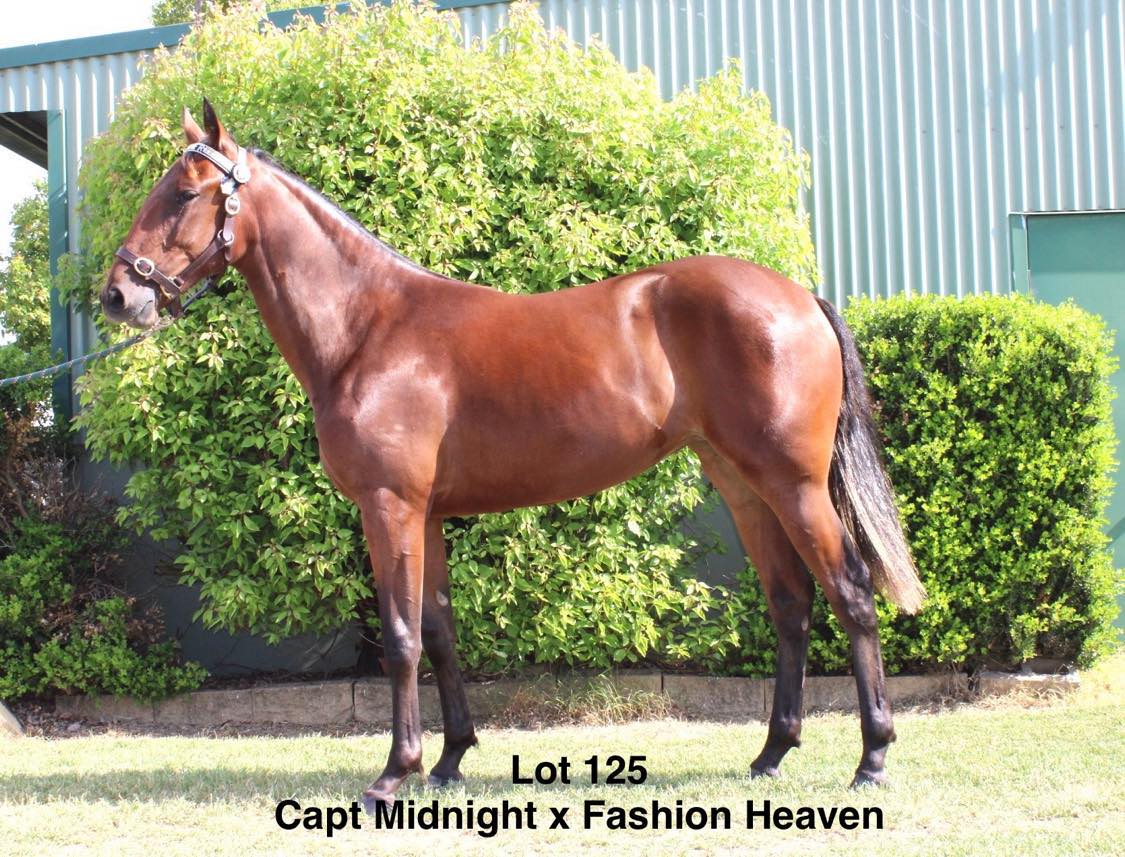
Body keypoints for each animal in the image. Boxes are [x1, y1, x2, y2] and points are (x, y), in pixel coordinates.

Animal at [101, 101, 925, 809]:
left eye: (182, 192)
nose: (117, 295)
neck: (369, 328)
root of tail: (800, 297)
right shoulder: (427, 514)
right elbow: (438, 630)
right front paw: (449, 759)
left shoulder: (388, 505)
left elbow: (400, 636)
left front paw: (393, 773)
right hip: (743, 484)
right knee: (790, 602)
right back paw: (771, 753)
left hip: (794, 483)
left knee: (851, 592)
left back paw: (871, 758)